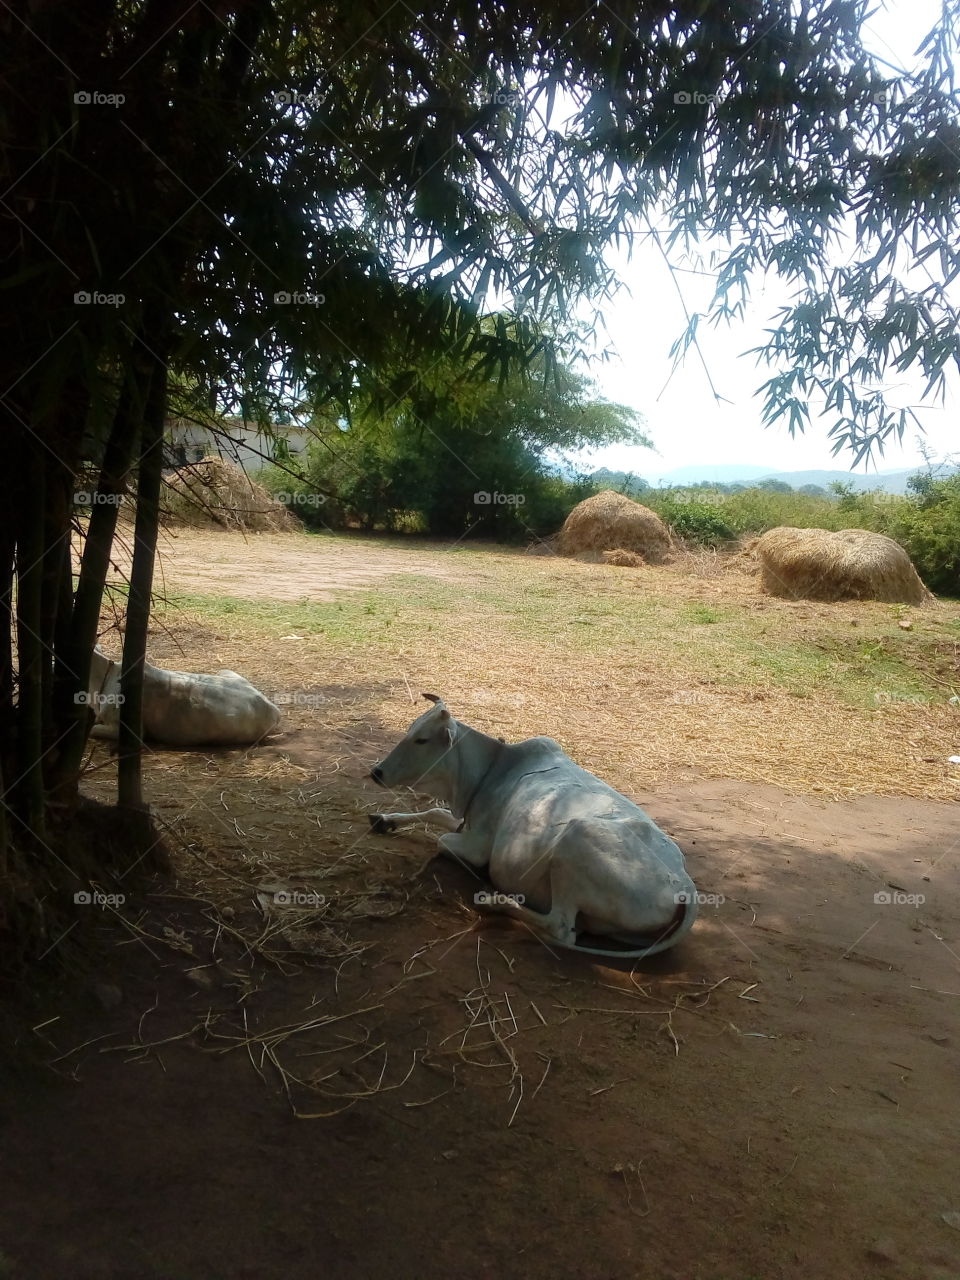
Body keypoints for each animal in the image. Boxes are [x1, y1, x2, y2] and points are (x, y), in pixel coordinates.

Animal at [368, 694, 699, 958]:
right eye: (410, 730)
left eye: (422, 739)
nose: (377, 772)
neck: (491, 770)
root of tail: (685, 886)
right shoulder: (464, 820)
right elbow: (434, 812)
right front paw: (385, 820)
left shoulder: (477, 846)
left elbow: (442, 841)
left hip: (575, 839)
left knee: (562, 927)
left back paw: (494, 901)